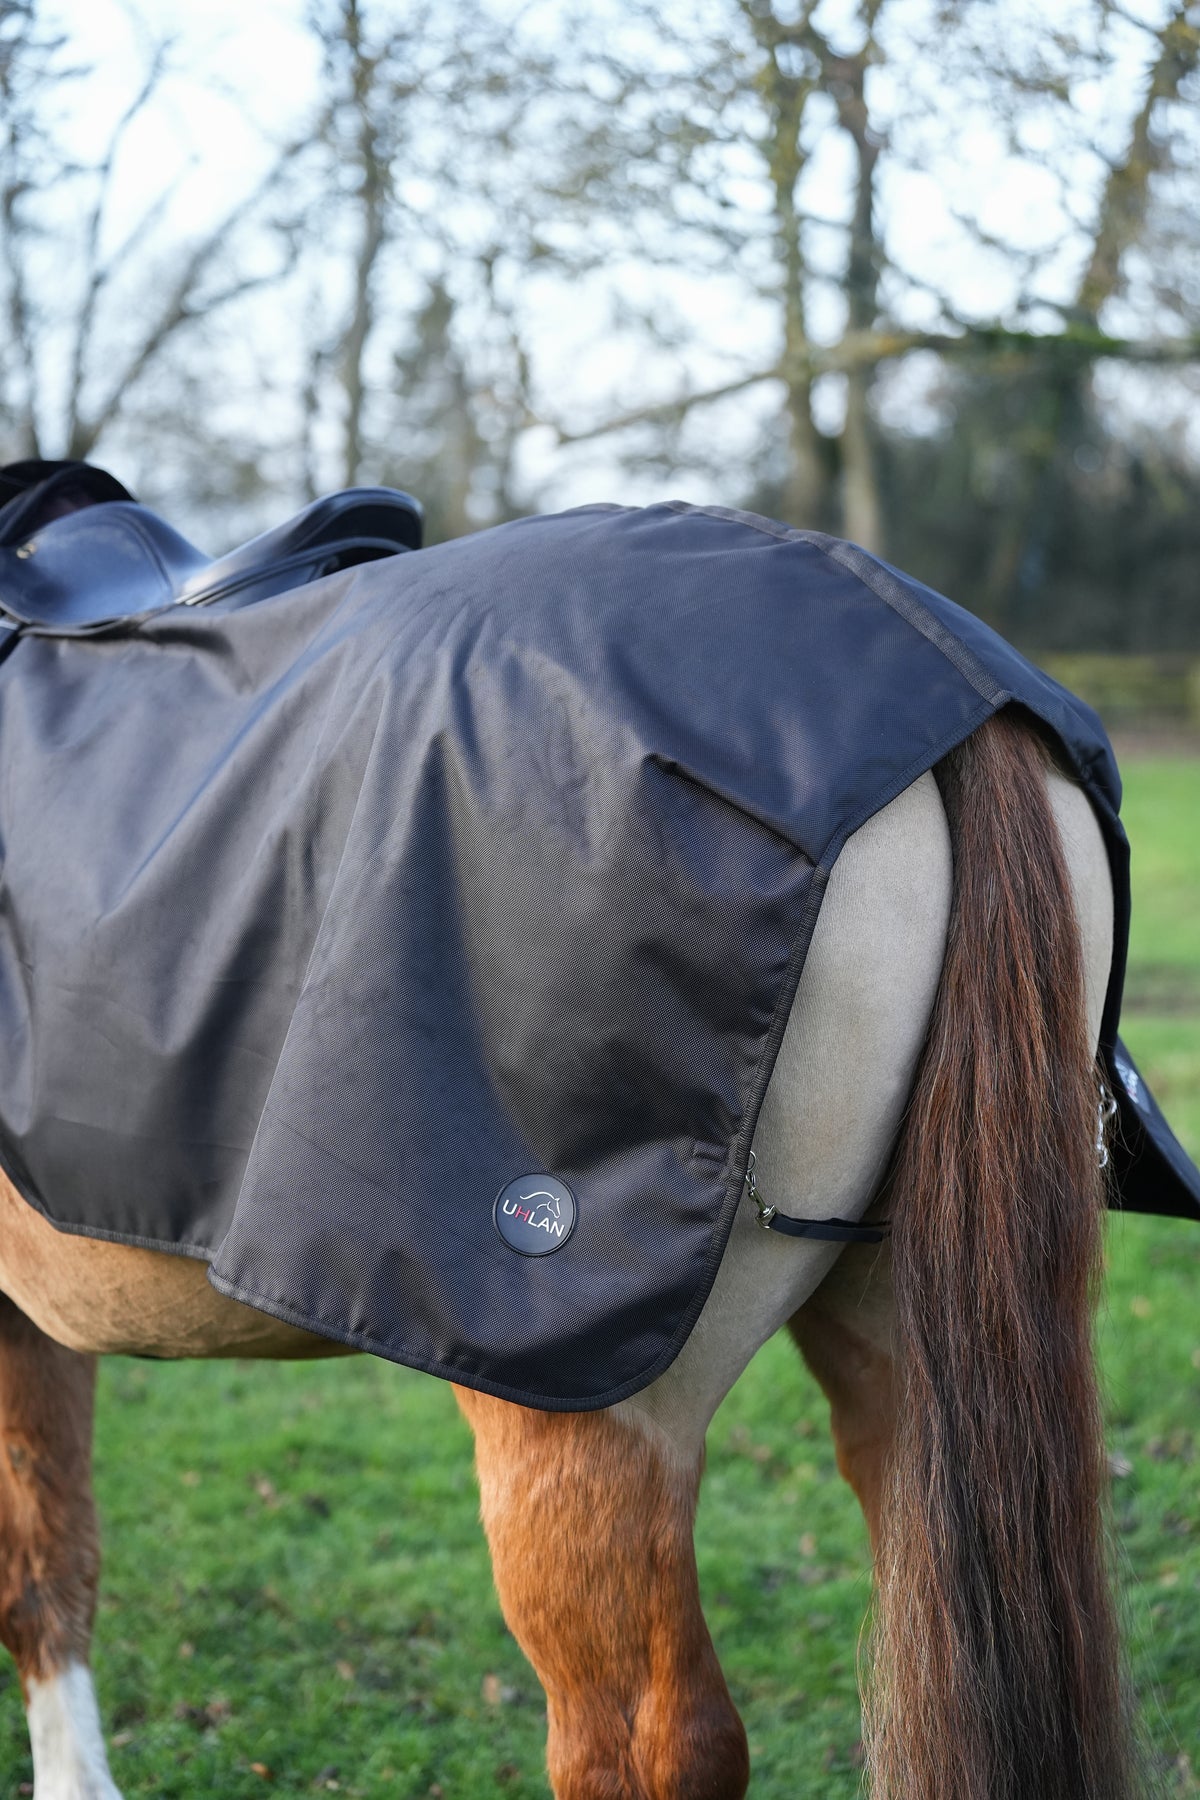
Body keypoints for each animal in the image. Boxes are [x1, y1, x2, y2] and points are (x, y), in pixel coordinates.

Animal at [0, 705, 1147, 1800]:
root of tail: (963, 704)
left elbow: (34, 1575)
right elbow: (53, 1565)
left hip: (583, 1420)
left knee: (649, 1748)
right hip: (913, 1388)